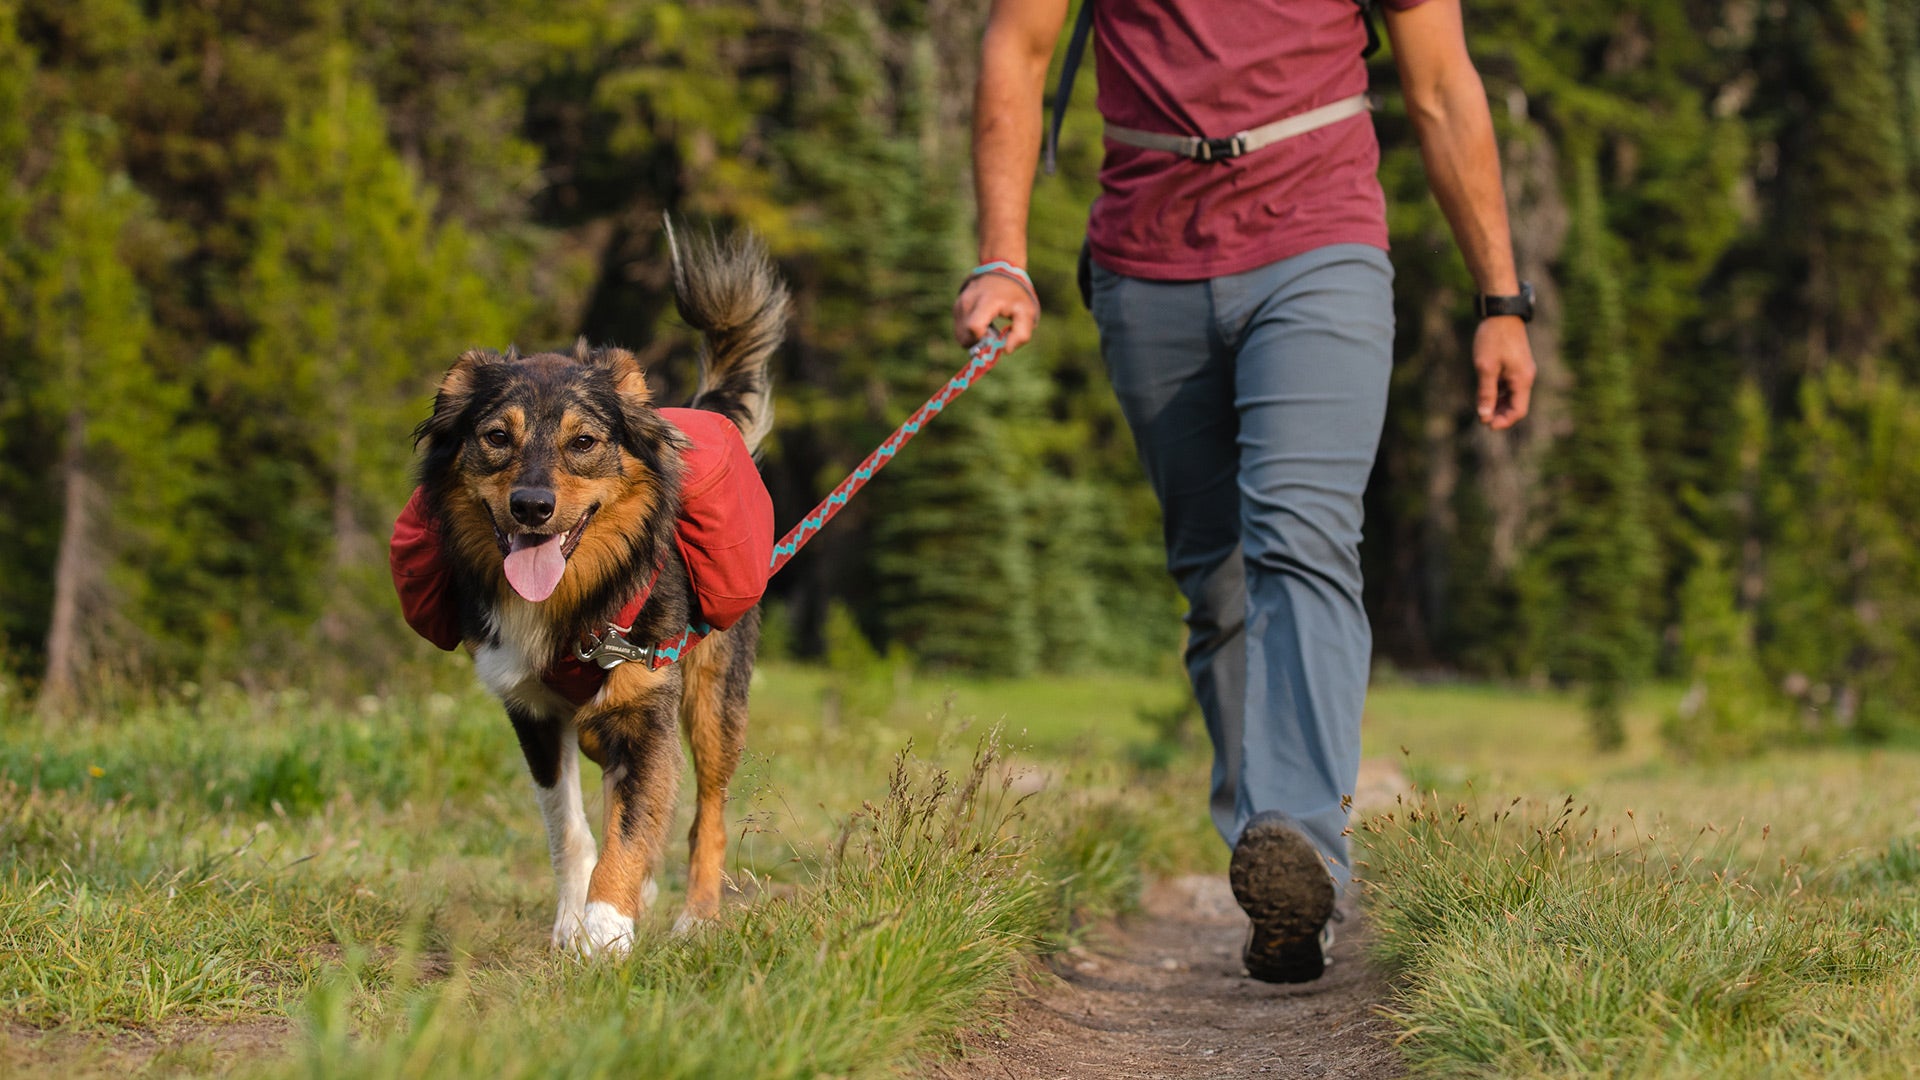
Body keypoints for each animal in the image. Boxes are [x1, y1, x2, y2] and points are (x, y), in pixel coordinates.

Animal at [408, 226, 791, 949]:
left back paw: (697, 919)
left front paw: (608, 930)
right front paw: (573, 922)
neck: (567, 605)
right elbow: (569, 828)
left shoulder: (647, 703)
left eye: (584, 441)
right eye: (495, 437)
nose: (532, 507)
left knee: (709, 812)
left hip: (715, 694)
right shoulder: (529, 708)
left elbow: (633, 826)